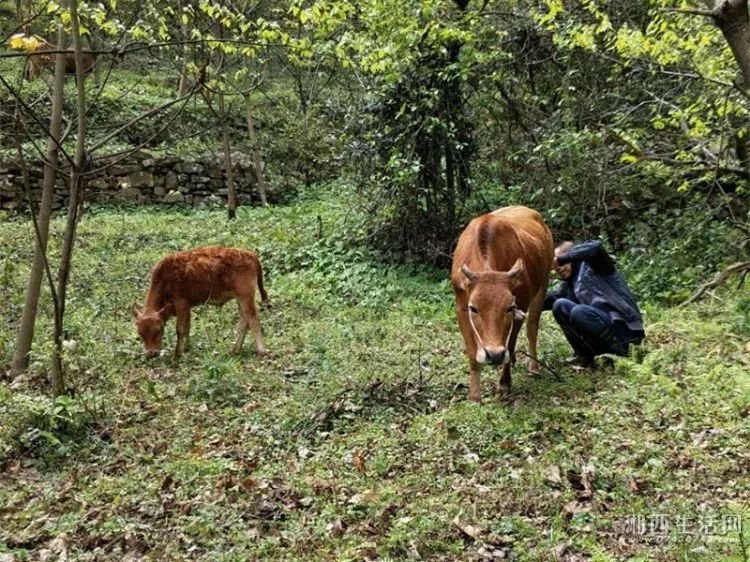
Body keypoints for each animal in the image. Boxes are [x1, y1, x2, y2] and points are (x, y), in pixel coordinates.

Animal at [134, 245, 268, 358]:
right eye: (140, 334)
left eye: (158, 330)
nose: (151, 353)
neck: (164, 279)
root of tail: (250, 254)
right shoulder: (187, 308)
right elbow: (187, 327)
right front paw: (186, 347)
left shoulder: (181, 305)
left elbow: (180, 329)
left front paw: (177, 354)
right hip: (240, 299)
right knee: (244, 321)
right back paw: (235, 350)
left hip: (246, 297)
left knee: (253, 319)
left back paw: (261, 350)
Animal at [450, 205, 556, 398]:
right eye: (473, 308)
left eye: (509, 307)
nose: (495, 355)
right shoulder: (460, 307)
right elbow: (472, 353)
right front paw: (474, 397)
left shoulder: (520, 306)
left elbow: (511, 343)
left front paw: (505, 383)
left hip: (544, 281)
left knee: (532, 327)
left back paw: (534, 368)